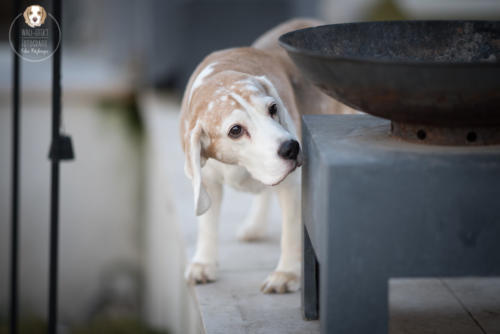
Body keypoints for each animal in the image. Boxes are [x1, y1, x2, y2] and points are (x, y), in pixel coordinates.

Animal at [180, 18, 356, 294]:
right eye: (235, 130)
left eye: (273, 108)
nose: (291, 147)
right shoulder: (207, 181)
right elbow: (207, 225)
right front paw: (203, 263)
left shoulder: (292, 187)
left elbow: (291, 234)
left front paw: (287, 273)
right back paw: (255, 225)